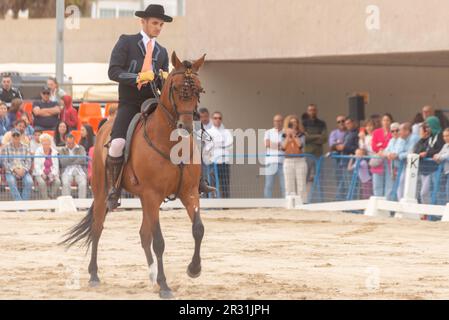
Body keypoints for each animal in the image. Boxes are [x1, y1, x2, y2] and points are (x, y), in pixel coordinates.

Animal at [60, 51, 206, 298]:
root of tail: (105, 125)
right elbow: (159, 242)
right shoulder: (152, 195)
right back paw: (94, 275)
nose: (185, 127)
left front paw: (193, 269)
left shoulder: (189, 193)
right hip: (103, 193)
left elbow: (198, 229)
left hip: (145, 200)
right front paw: (165, 286)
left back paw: (152, 276)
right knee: (98, 229)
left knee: (143, 234)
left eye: (198, 89)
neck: (170, 144)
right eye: (177, 88)